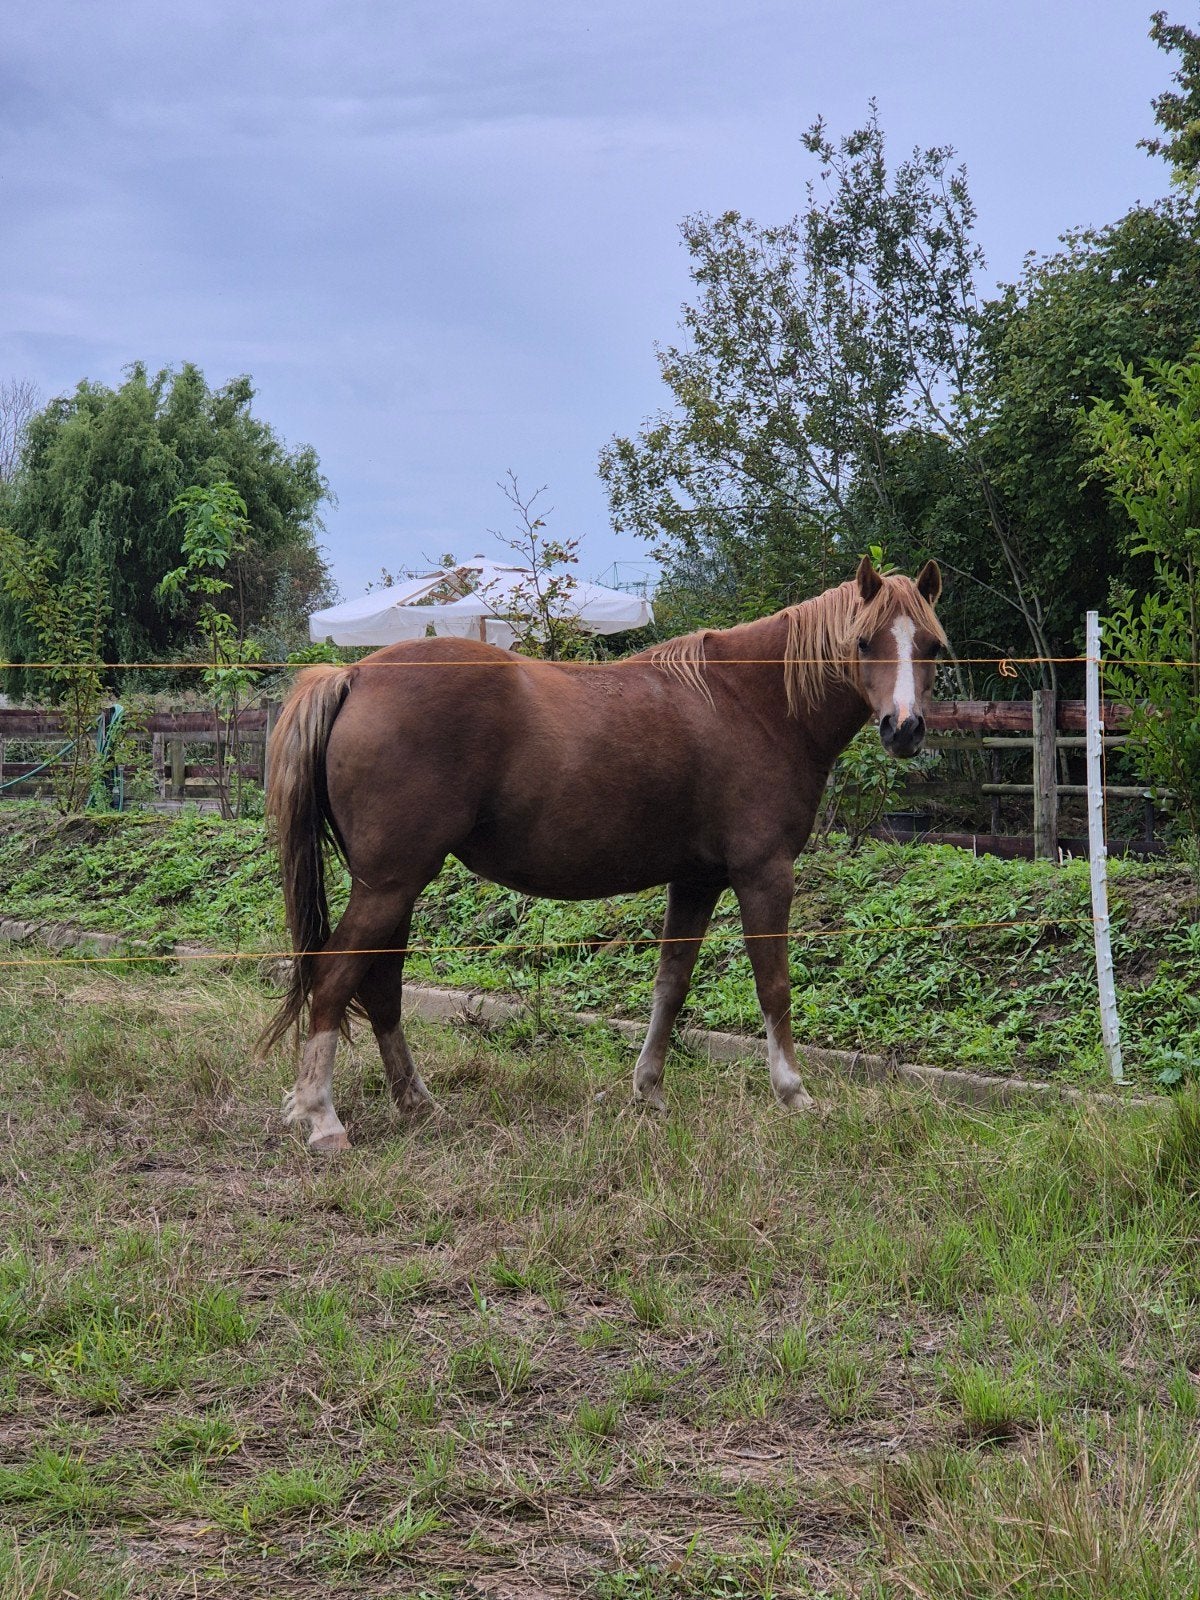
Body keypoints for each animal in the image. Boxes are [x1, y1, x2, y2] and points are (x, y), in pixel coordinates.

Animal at [262, 556, 946, 1148]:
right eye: (865, 642)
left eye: (931, 647)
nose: (904, 728)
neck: (751, 703)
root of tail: (354, 676)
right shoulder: (764, 876)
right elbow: (773, 987)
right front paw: (794, 1093)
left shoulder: (696, 881)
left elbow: (671, 985)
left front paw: (649, 1090)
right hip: (390, 884)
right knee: (334, 976)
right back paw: (322, 1116)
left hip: (393, 887)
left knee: (380, 986)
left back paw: (415, 1101)